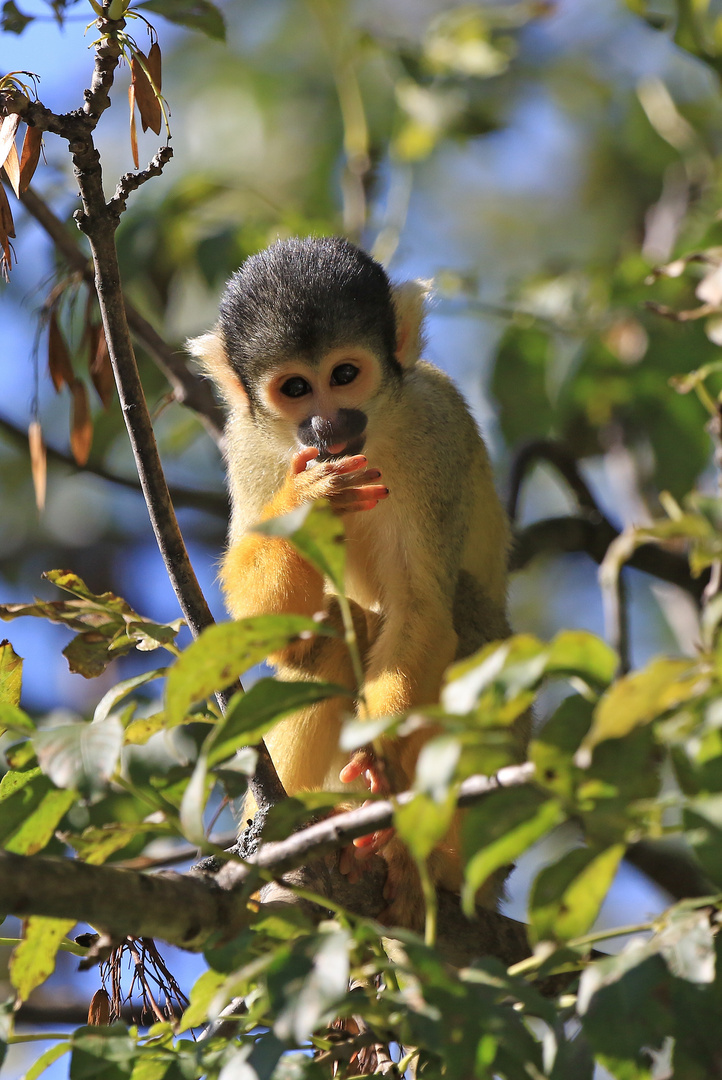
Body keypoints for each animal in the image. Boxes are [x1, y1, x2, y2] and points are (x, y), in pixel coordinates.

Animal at [189, 236, 518, 928]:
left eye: (344, 376)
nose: (325, 427)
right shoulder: (249, 443)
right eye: (295, 388)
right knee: (333, 635)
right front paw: (310, 499)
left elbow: (423, 609)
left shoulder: (433, 428)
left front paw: (379, 754)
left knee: (466, 621)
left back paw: (421, 864)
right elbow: (273, 630)